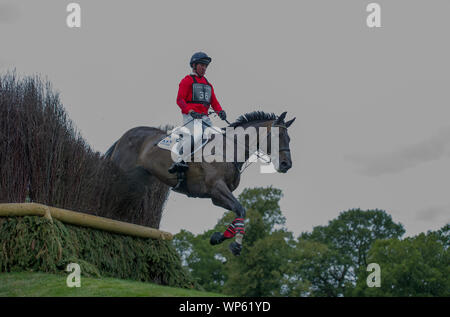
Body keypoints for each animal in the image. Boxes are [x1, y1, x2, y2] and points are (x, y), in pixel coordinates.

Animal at [104, 111, 296, 254]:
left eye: (289, 138)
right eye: (279, 135)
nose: (286, 165)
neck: (229, 150)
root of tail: (126, 135)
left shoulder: (216, 197)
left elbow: (239, 211)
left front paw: (218, 237)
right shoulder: (217, 188)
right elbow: (240, 209)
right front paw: (236, 245)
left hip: (141, 177)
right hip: (122, 170)